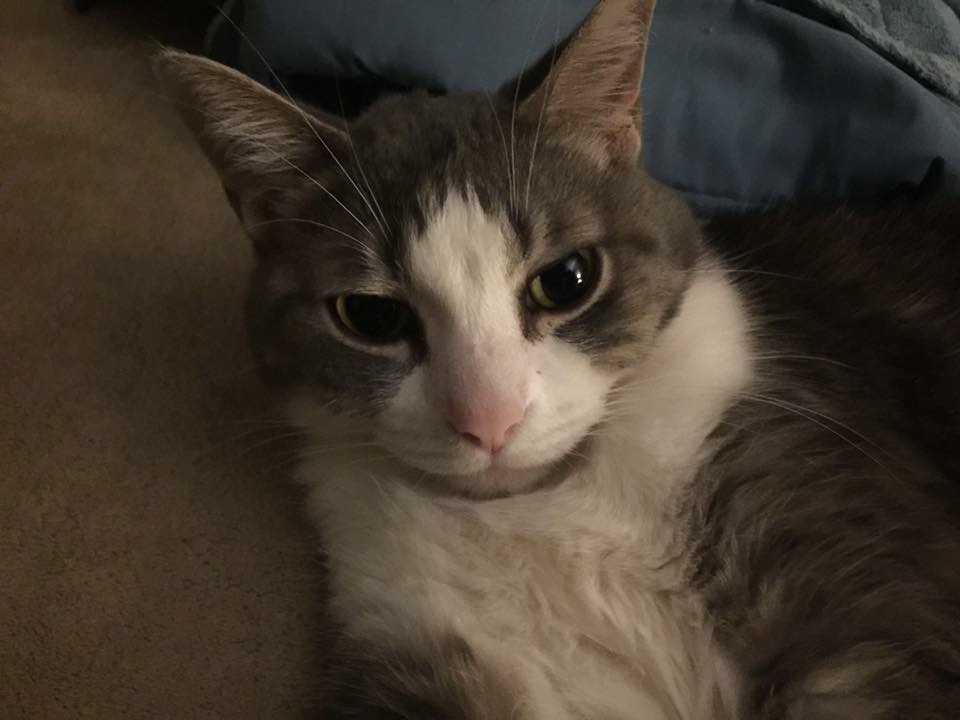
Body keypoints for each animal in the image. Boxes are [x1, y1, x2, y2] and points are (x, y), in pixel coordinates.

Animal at [156, 0, 960, 717]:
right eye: (373, 317)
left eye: (567, 279)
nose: (490, 419)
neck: (551, 505)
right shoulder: (418, 634)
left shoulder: (851, 575)